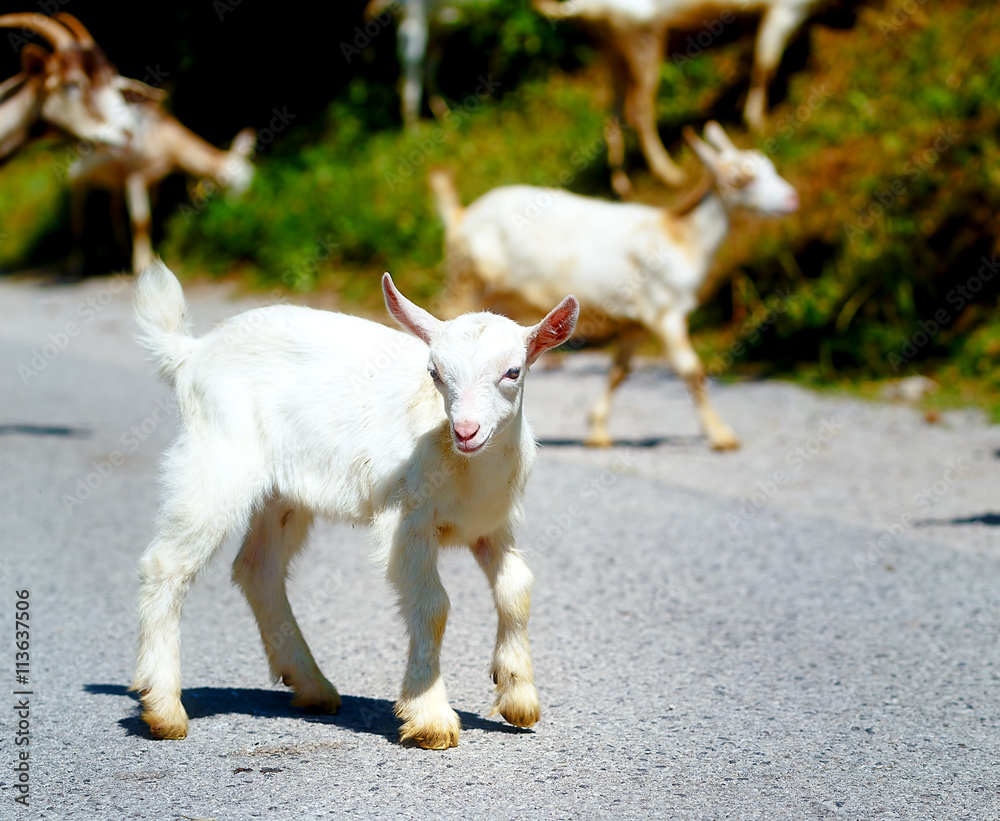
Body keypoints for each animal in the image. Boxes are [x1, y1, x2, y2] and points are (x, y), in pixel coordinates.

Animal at [131, 261, 578, 749]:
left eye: (513, 371)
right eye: (435, 373)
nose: (466, 430)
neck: (465, 465)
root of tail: (192, 354)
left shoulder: (491, 525)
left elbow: (517, 589)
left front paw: (518, 695)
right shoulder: (405, 521)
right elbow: (433, 605)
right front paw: (429, 716)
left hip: (282, 494)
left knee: (258, 567)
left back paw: (311, 684)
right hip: (218, 459)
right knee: (168, 564)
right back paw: (163, 707)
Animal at [430, 121, 798, 450]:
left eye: (771, 168)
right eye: (742, 179)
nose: (792, 198)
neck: (679, 237)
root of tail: (461, 217)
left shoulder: (637, 322)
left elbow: (620, 371)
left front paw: (597, 431)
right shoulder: (665, 311)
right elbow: (691, 370)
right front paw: (722, 436)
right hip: (466, 281)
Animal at [534, 0, 820, 195]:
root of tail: (581, 8)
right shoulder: (784, 10)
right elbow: (764, 67)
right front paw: (757, 123)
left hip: (614, 59)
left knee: (613, 119)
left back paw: (623, 186)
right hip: (641, 45)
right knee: (638, 114)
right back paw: (671, 175)